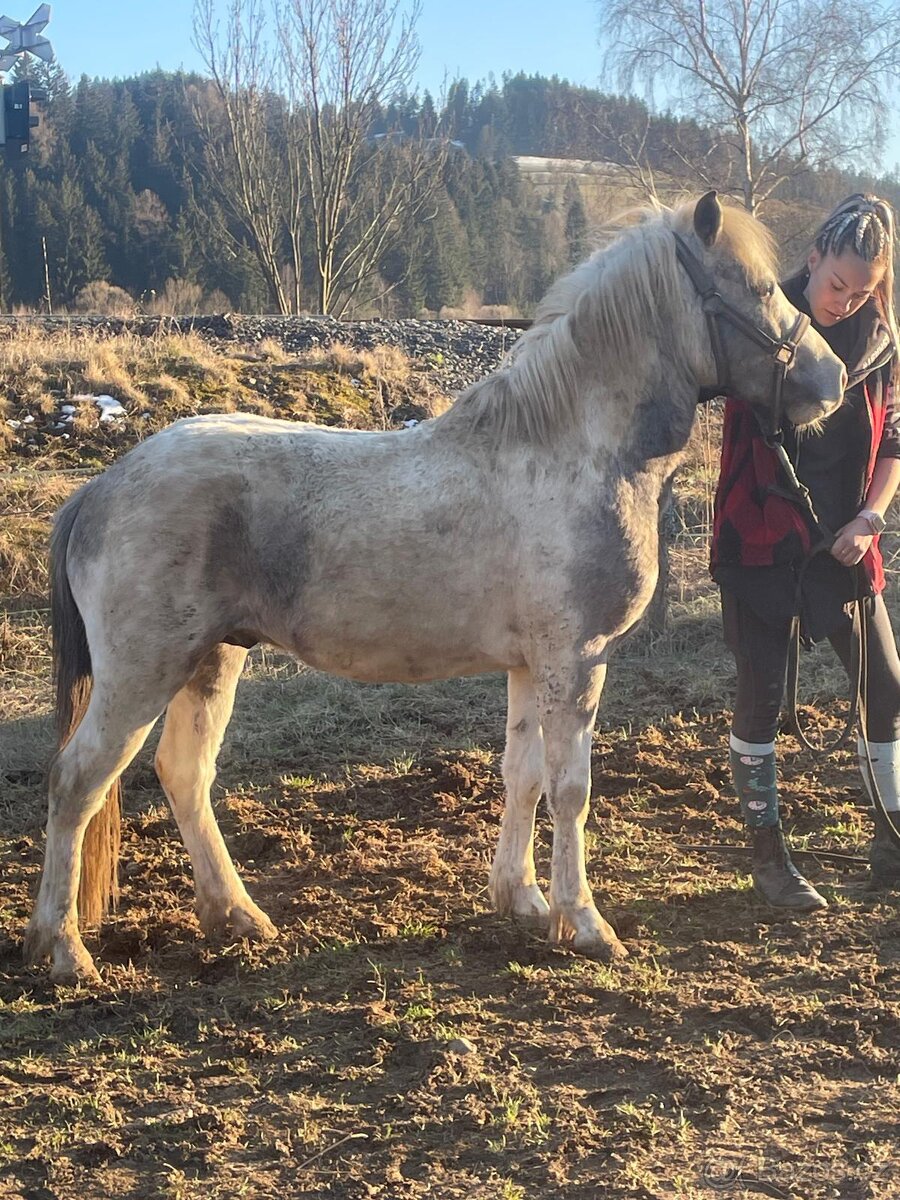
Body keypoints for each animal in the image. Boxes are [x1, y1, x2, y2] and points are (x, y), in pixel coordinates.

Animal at [23, 192, 846, 982]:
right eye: (761, 287)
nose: (834, 377)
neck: (573, 450)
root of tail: (100, 489)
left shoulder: (530, 666)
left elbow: (523, 778)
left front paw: (523, 900)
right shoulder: (575, 658)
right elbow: (570, 789)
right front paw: (584, 924)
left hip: (213, 658)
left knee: (185, 774)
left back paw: (236, 916)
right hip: (142, 673)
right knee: (77, 782)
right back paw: (64, 948)